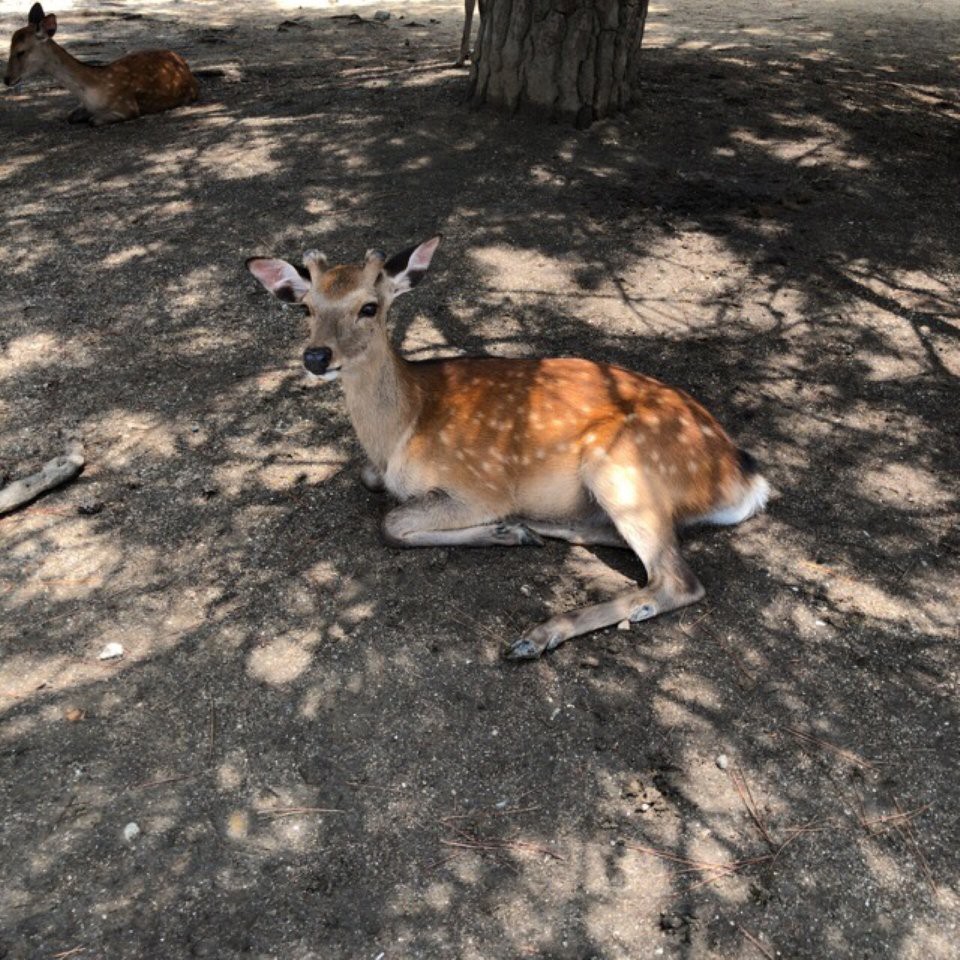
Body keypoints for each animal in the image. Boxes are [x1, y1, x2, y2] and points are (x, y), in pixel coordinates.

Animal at [248, 238, 772, 660]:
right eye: (307, 308)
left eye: (369, 307)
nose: (316, 357)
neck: (402, 429)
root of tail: (743, 477)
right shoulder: (383, 471)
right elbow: (372, 482)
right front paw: (508, 531)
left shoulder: (478, 485)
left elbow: (391, 523)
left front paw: (498, 531)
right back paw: (534, 530)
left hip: (621, 463)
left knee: (677, 579)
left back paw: (539, 632)